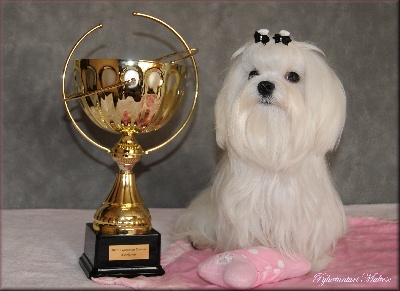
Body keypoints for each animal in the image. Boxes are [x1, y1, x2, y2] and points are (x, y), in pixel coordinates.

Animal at [175, 30, 346, 288]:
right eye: (253, 73)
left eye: (293, 76)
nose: (265, 85)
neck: (272, 149)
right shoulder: (242, 211)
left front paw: (310, 261)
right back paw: (200, 239)